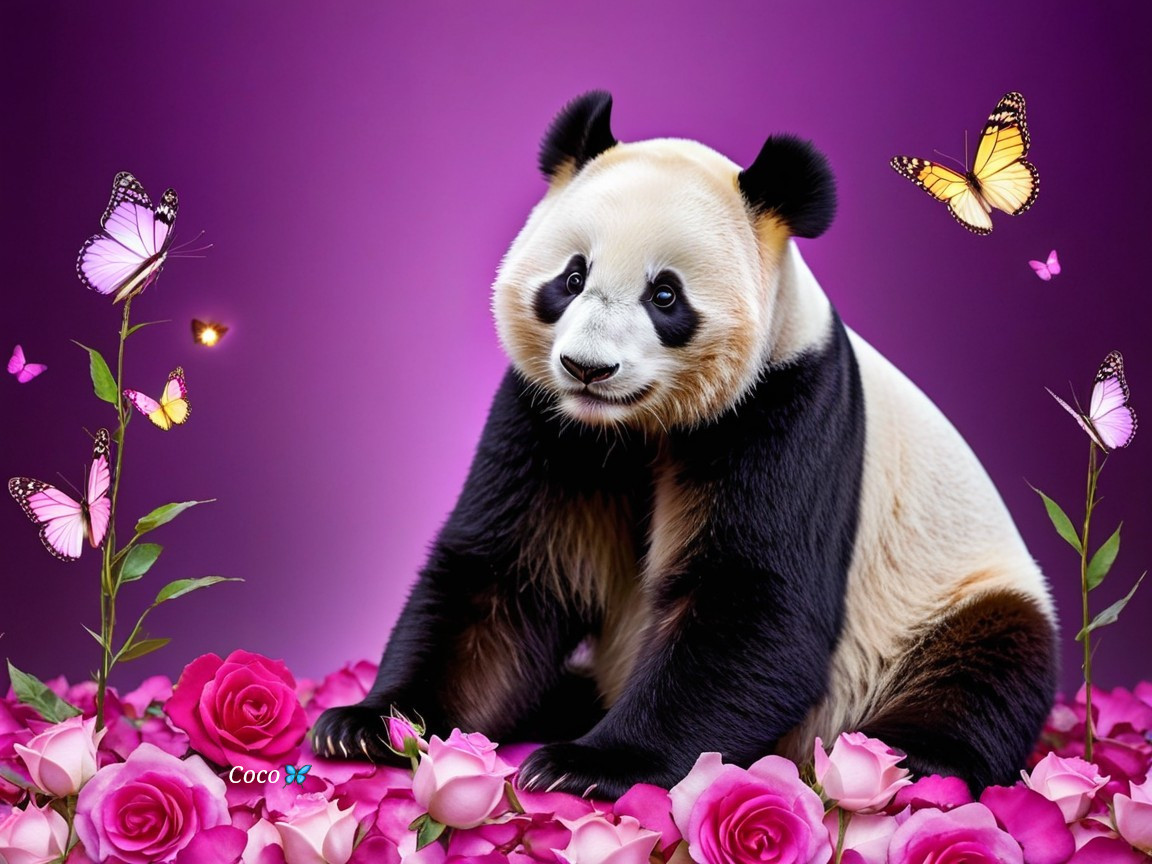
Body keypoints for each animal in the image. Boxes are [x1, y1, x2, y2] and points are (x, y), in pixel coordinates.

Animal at [312, 91, 1057, 798]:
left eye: (665, 295)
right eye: (572, 278)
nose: (587, 368)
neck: (633, 427)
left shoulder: (787, 406)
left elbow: (751, 601)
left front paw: (588, 764)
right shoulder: (543, 417)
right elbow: (505, 577)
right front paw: (370, 724)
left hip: (953, 596)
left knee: (987, 664)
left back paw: (903, 757)